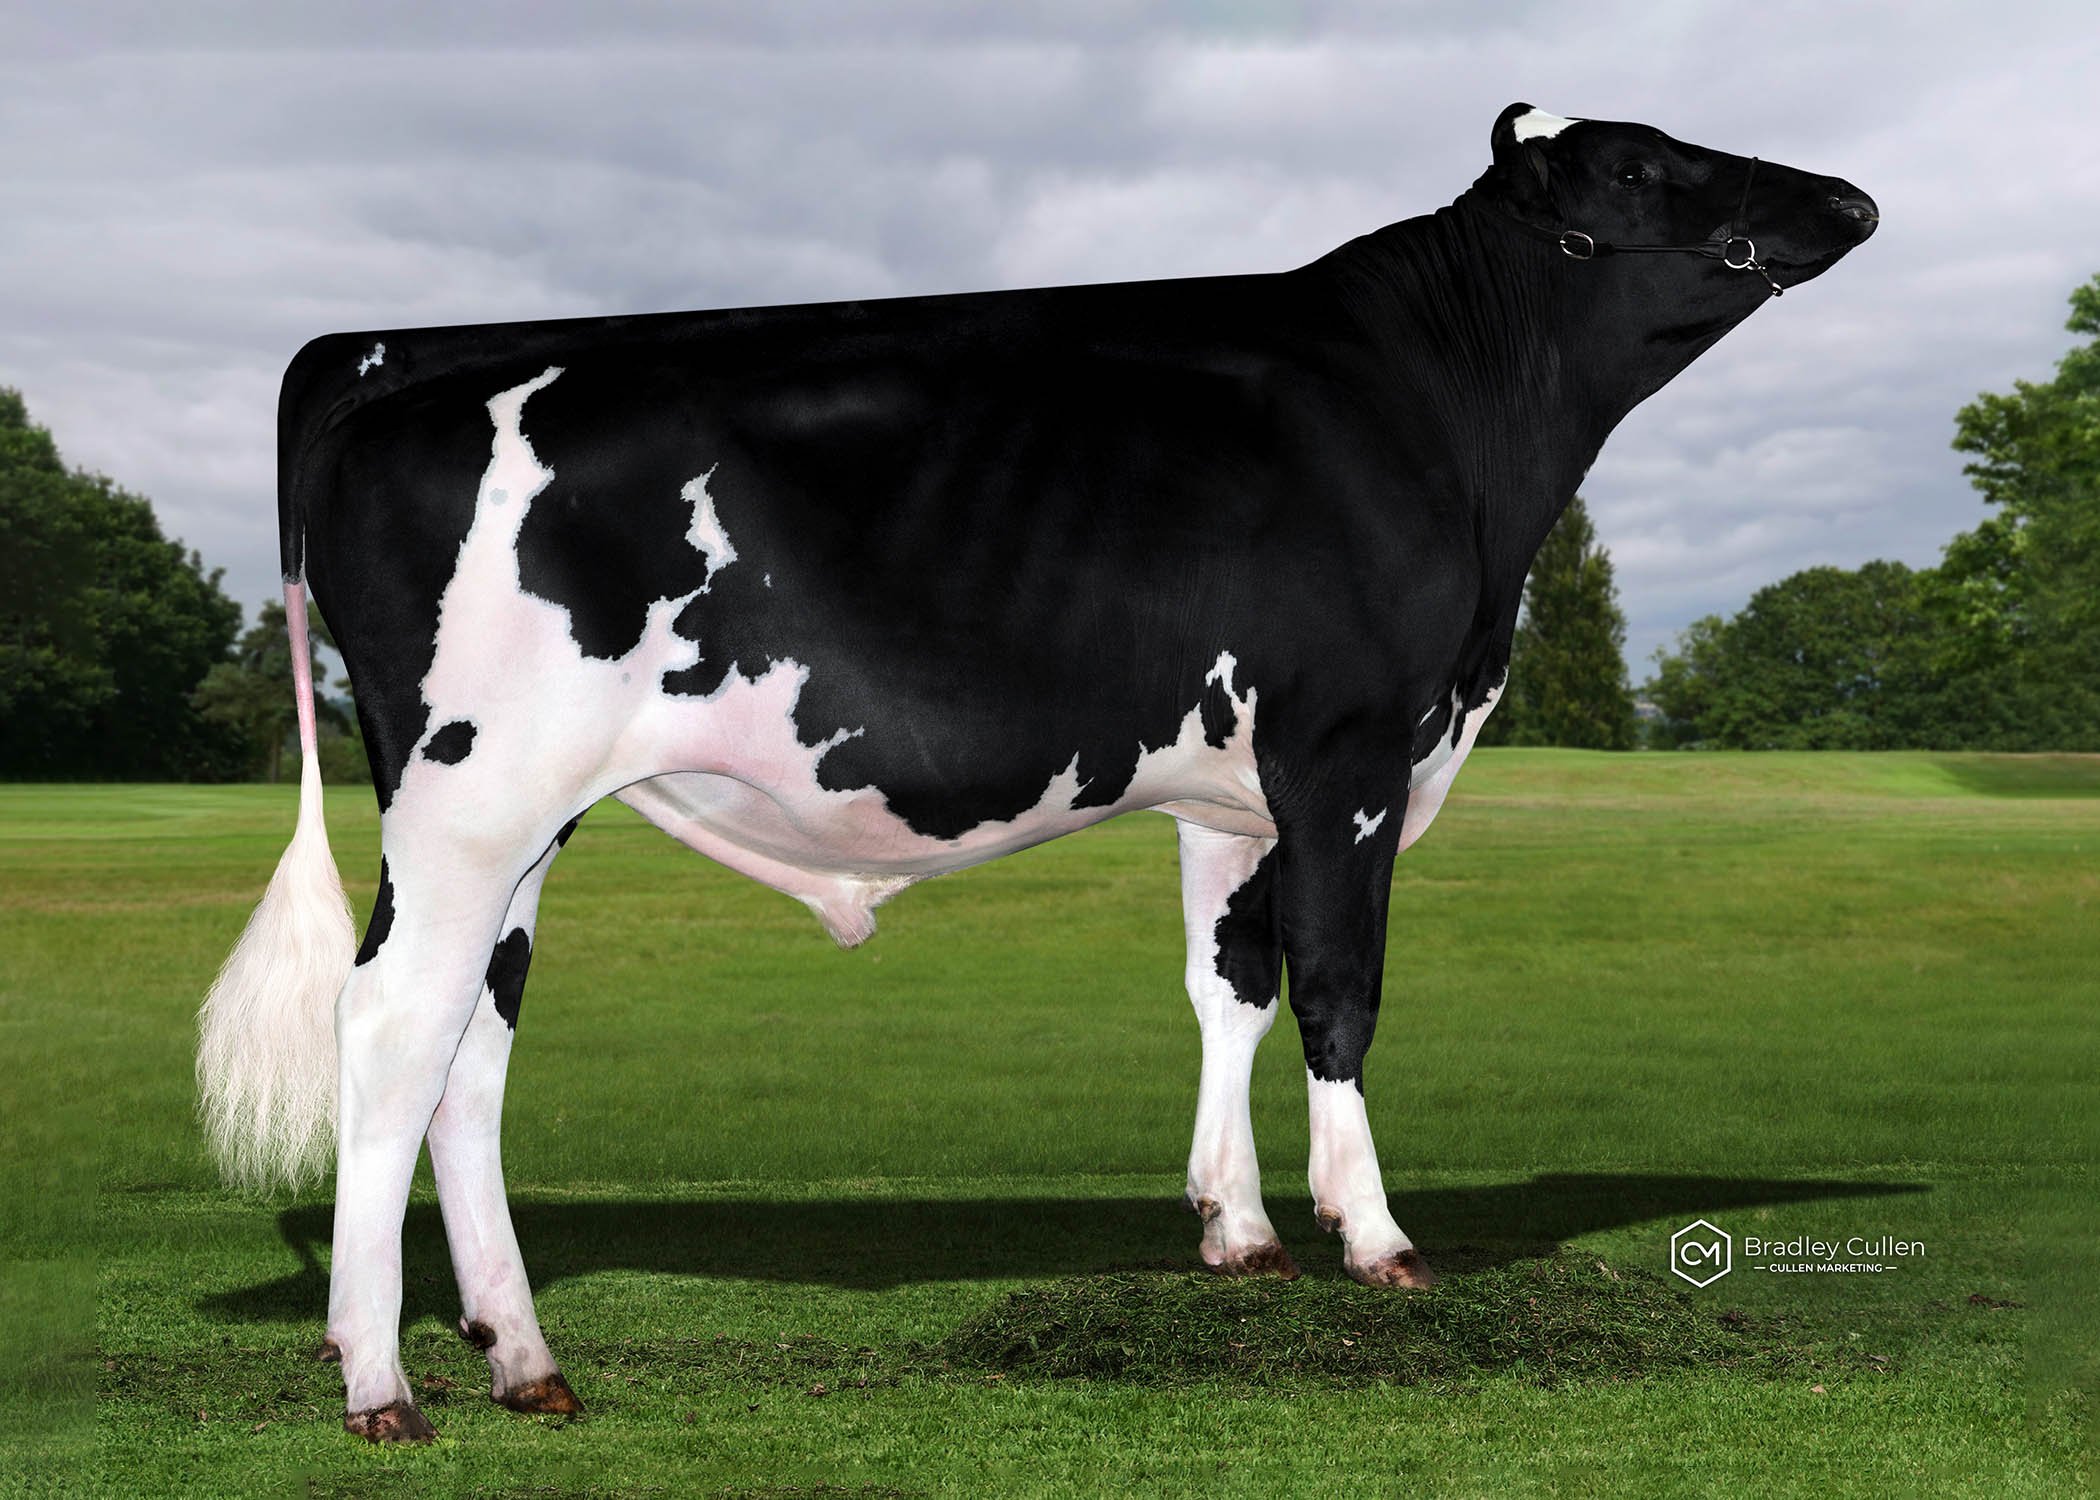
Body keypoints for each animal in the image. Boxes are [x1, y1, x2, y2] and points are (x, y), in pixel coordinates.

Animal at [198, 102, 1875, 1441]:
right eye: (1646, 167)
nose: (1852, 201)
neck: (1441, 420)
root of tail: (396, 360)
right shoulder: (1346, 748)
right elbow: (1340, 989)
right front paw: (1375, 1237)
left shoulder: (1228, 792)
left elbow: (1229, 987)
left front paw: (1238, 1231)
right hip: (471, 797)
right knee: (389, 1030)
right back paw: (382, 1383)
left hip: (522, 824)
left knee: (472, 1048)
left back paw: (524, 1359)